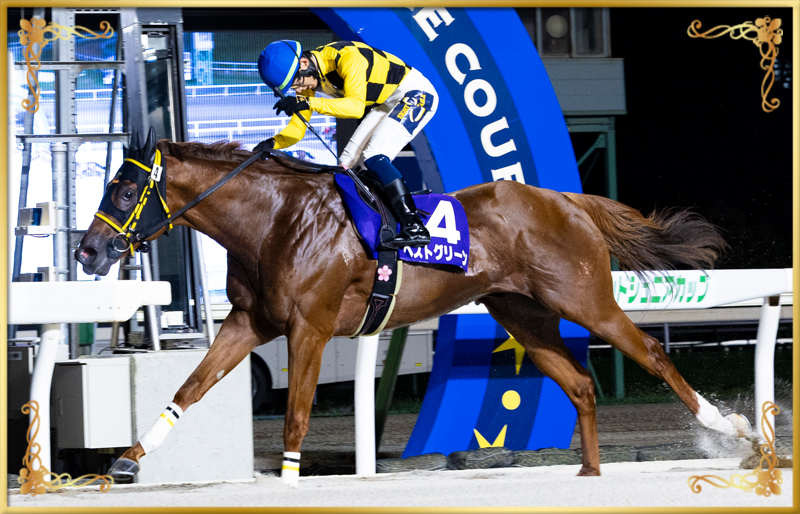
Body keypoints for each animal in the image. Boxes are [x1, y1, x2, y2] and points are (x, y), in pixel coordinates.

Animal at [75, 128, 749, 487]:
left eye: (125, 190)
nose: (88, 250)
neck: (274, 222)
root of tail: (566, 198)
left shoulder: (309, 327)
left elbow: (295, 415)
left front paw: (289, 479)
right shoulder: (249, 322)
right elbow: (190, 388)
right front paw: (126, 462)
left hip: (584, 298)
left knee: (653, 351)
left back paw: (728, 428)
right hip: (522, 314)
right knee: (580, 383)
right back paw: (588, 473)